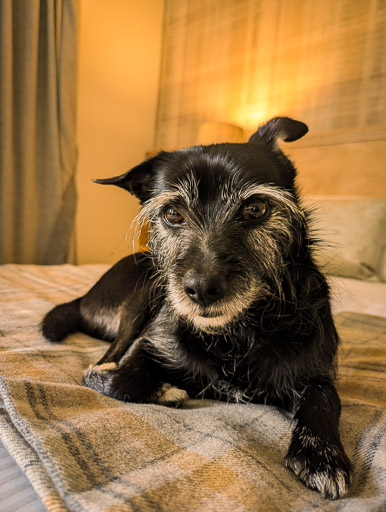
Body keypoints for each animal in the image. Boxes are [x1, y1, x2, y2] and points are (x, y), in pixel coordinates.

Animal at [40, 117, 352, 500]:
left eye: (255, 208)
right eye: (172, 213)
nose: (201, 289)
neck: (234, 334)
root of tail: (86, 295)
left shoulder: (313, 370)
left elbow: (325, 397)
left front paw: (322, 456)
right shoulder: (149, 345)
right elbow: (114, 379)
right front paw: (167, 390)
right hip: (143, 296)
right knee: (104, 361)